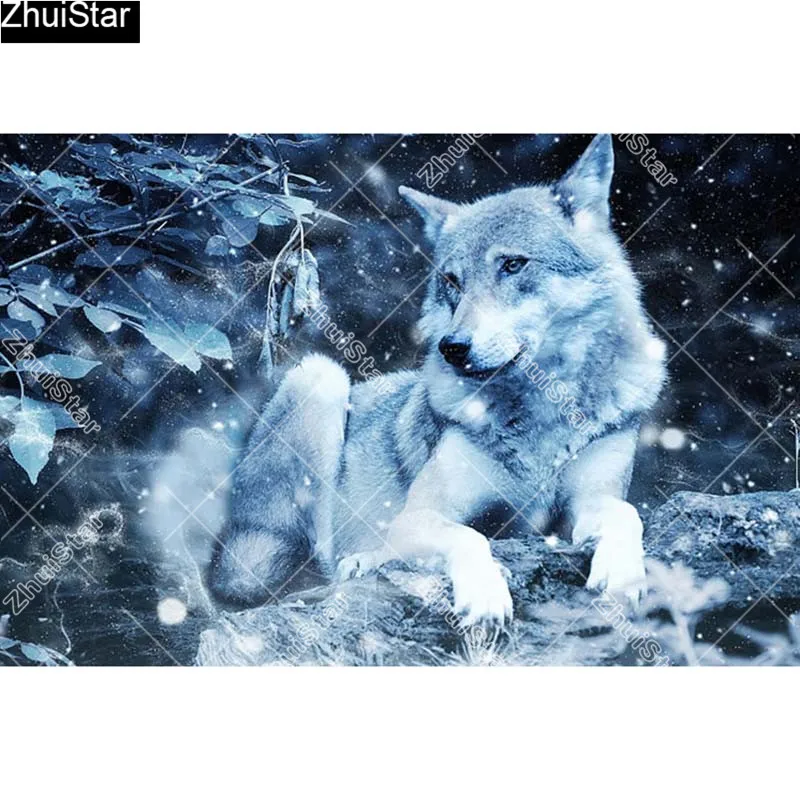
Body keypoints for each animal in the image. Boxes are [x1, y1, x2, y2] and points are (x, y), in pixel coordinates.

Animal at [207, 134, 667, 626]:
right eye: (452, 280)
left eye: (513, 265)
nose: (453, 347)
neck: (538, 413)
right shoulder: (418, 517)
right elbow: (471, 537)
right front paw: (485, 594)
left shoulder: (586, 504)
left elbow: (627, 513)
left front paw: (624, 574)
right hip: (321, 377)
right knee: (317, 566)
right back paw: (360, 561)